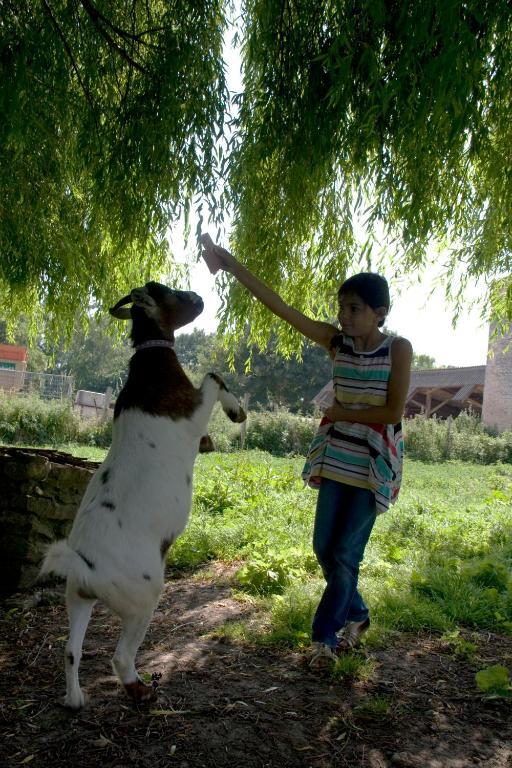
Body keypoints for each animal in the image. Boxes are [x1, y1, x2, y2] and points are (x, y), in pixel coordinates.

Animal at [40, 282, 246, 708]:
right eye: (170, 291)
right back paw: (140, 688)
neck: (151, 361)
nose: (200, 297)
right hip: (144, 599)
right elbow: (213, 377)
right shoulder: (193, 408)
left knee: (71, 651)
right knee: (121, 656)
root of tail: (87, 568)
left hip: (77, 600)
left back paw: (75, 699)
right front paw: (237, 412)